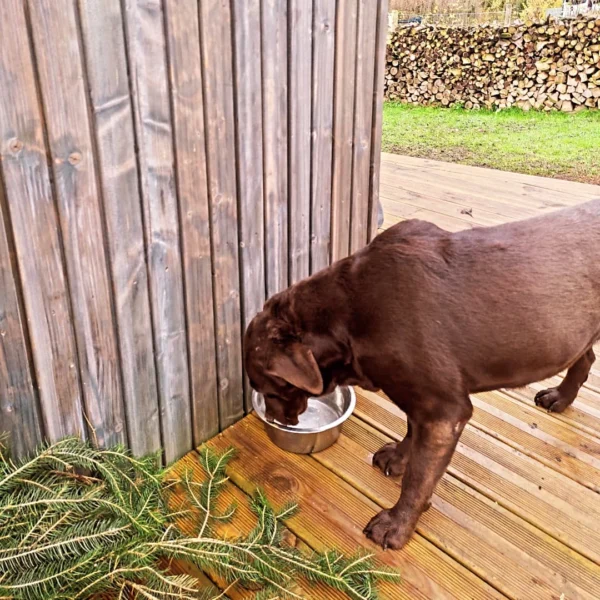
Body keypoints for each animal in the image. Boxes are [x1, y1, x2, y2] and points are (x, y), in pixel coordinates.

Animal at [243, 200, 600, 548]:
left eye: (270, 390)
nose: (274, 419)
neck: (347, 317)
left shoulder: (443, 412)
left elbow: (419, 478)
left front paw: (396, 525)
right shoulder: (419, 401)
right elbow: (411, 433)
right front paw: (397, 458)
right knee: (585, 355)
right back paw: (560, 397)